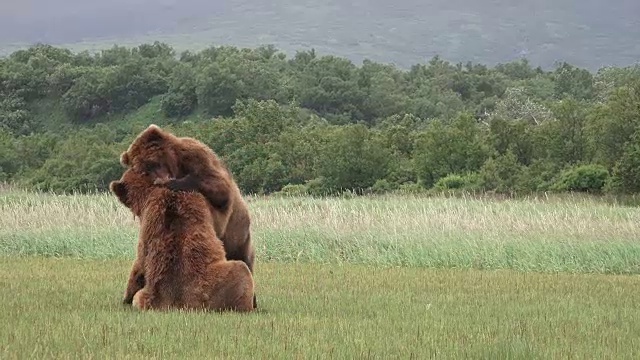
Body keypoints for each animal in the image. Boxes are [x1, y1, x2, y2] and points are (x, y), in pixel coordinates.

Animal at [121, 124, 256, 306]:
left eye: (152, 162)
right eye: (144, 170)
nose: (158, 179)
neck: (176, 165)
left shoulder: (197, 157)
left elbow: (218, 187)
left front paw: (174, 182)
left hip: (238, 236)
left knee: (245, 259)